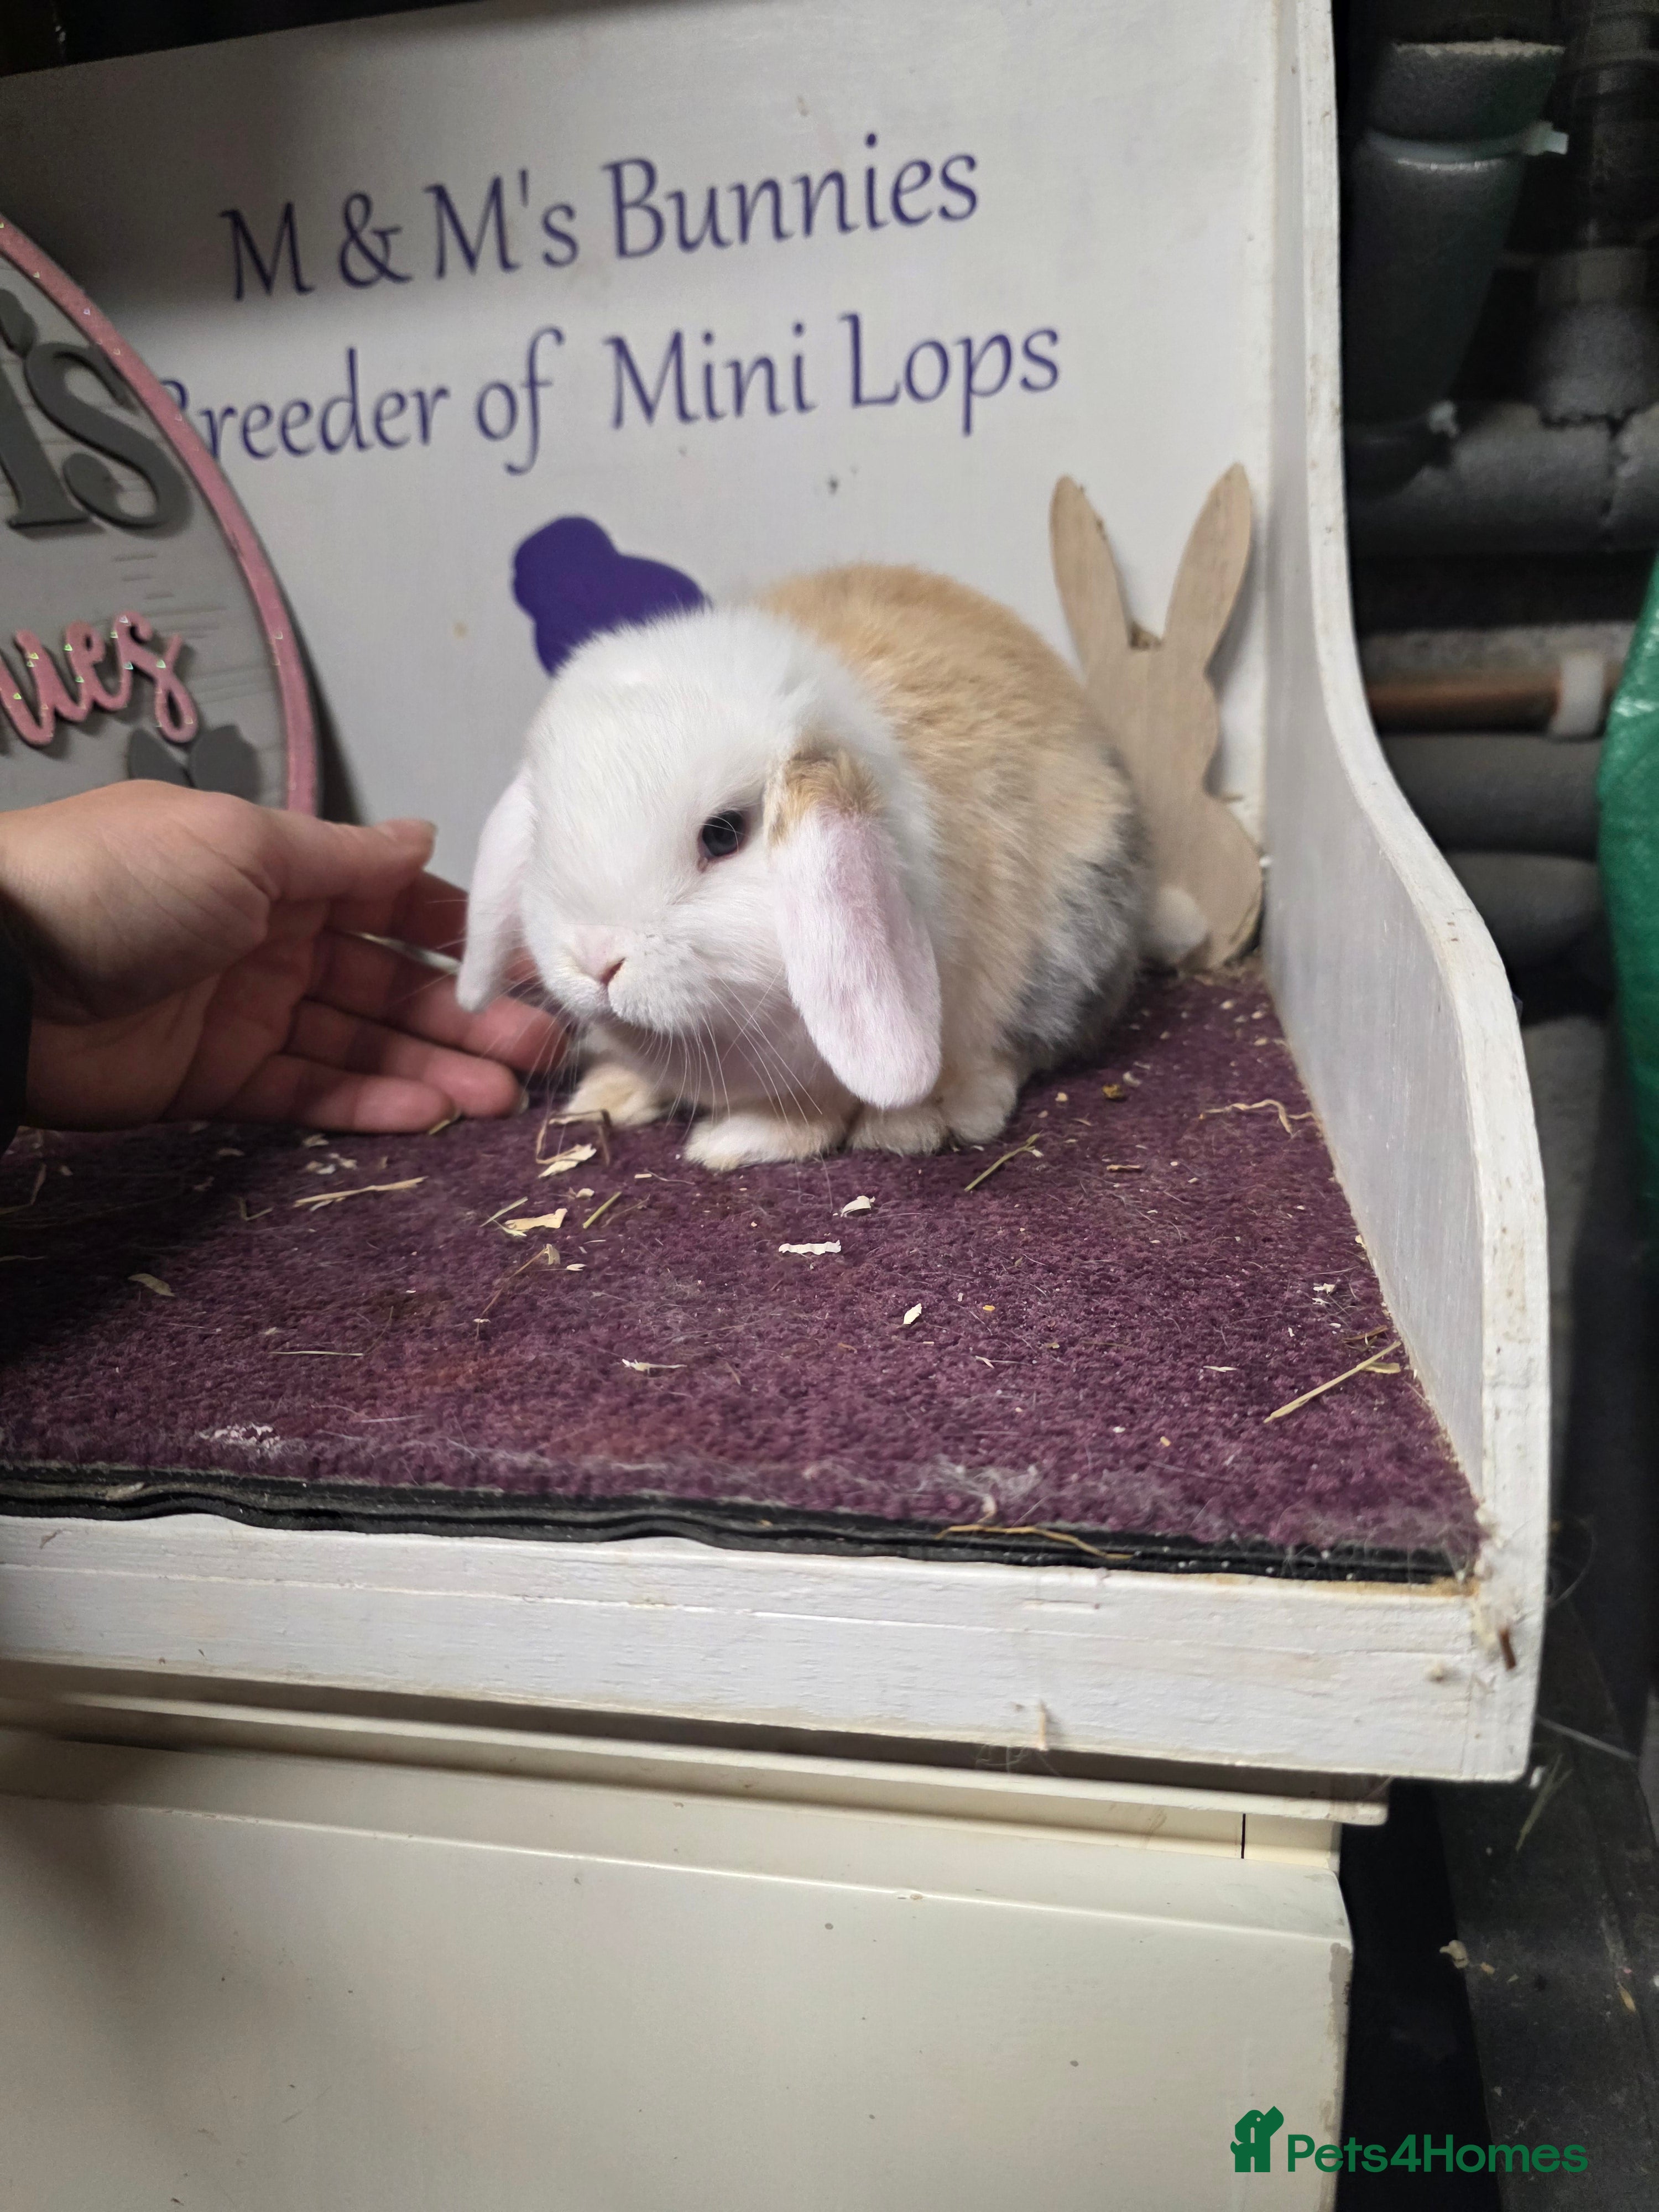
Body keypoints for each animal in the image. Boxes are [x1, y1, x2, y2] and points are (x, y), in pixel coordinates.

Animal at [457, 563, 1148, 1170]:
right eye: (543, 831)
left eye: (723, 835)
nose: (597, 959)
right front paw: (609, 1093)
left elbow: (813, 1116)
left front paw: (730, 1143)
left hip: (1069, 938)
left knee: (1015, 1048)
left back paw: (934, 1116)